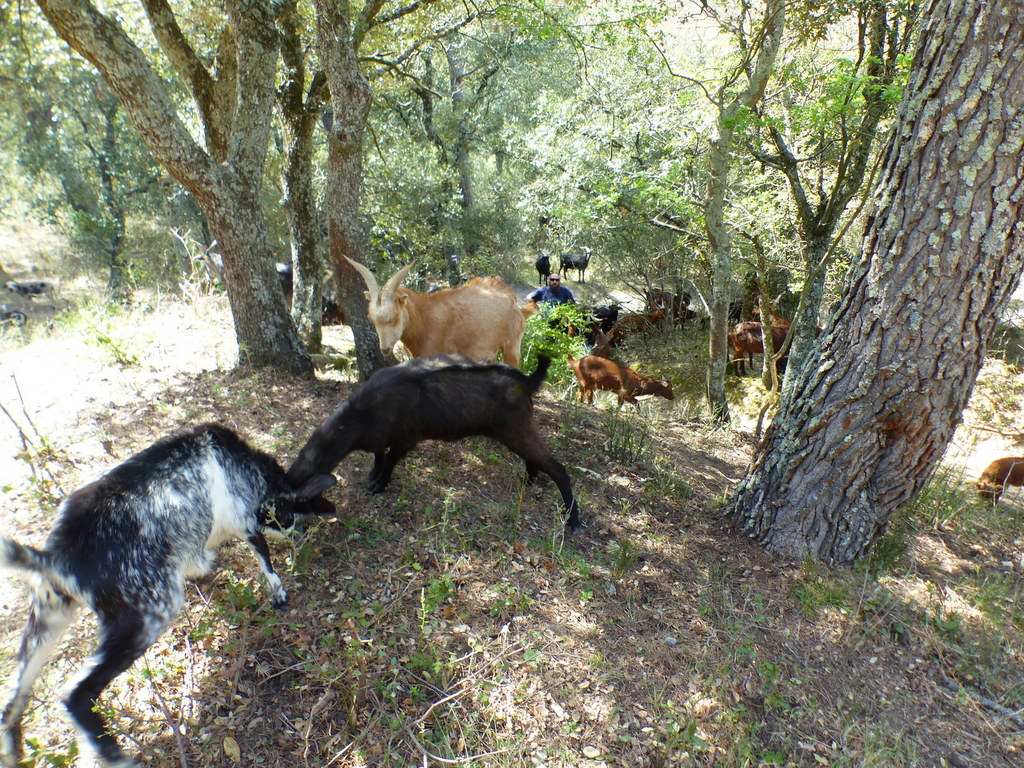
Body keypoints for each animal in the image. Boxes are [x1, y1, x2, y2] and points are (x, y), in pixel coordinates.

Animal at [0, 423, 333, 768]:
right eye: (289, 514)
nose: (294, 531)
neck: (247, 465)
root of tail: (56, 558)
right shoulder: (245, 519)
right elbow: (265, 559)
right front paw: (279, 593)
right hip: (148, 615)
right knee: (76, 693)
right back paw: (114, 755)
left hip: (49, 614)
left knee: (14, 696)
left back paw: (13, 752)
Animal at [288, 356, 581, 532]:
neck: (362, 414)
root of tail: (525, 381)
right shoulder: (380, 440)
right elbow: (379, 456)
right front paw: (373, 476)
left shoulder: (406, 439)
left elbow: (390, 461)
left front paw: (378, 485)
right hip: (518, 432)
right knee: (534, 458)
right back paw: (529, 480)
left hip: (515, 430)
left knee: (558, 468)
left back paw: (573, 520)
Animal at [348, 259, 524, 366]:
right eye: (372, 320)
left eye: (395, 318)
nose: (384, 349)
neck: (424, 319)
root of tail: (510, 294)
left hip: (512, 346)